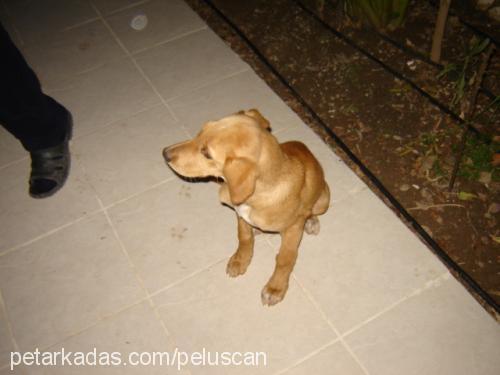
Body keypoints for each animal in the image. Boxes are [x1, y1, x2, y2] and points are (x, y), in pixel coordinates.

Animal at [162, 110, 330, 306]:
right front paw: (240, 260)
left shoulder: (293, 230)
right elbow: (244, 238)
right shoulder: (240, 216)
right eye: (200, 132)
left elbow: (285, 259)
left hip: (323, 201)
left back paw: (311, 221)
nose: (165, 153)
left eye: (207, 154)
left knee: (311, 211)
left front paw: (275, 288)